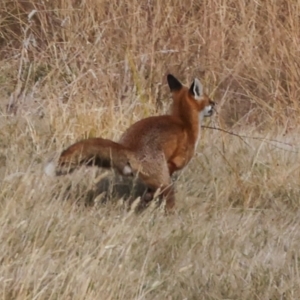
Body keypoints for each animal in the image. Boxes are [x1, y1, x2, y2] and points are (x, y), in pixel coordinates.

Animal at [44, 74, 214, 212]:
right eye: (210, 101)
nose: (216, 105)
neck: (183, 121)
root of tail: (128, 147)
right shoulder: (173, 163)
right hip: (165, 182)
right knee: (169, 200)